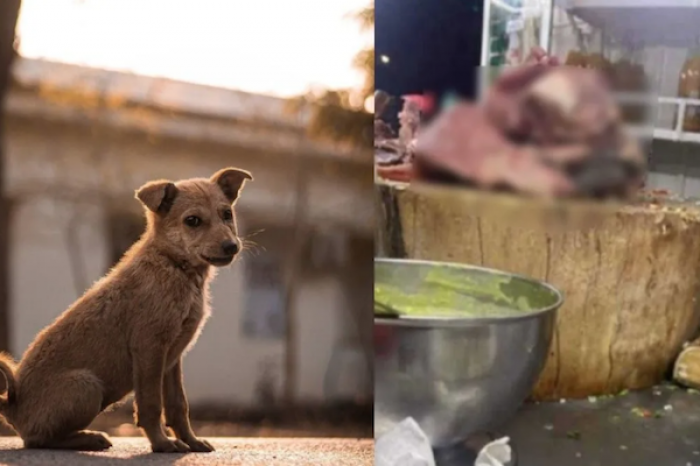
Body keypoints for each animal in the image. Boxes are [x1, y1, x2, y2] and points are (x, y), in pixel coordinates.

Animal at [0, 167, 253, 452]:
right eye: (193, 221)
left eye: (227, 214)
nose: (231, 246)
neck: (174, 267)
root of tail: (11, 407)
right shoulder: (149, 349)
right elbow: (150, 404)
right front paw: (162, 444)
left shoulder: (172, 358)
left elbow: (178, 405)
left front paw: (191, 441)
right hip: (86, 386)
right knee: (37, 440)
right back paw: (90, 438)